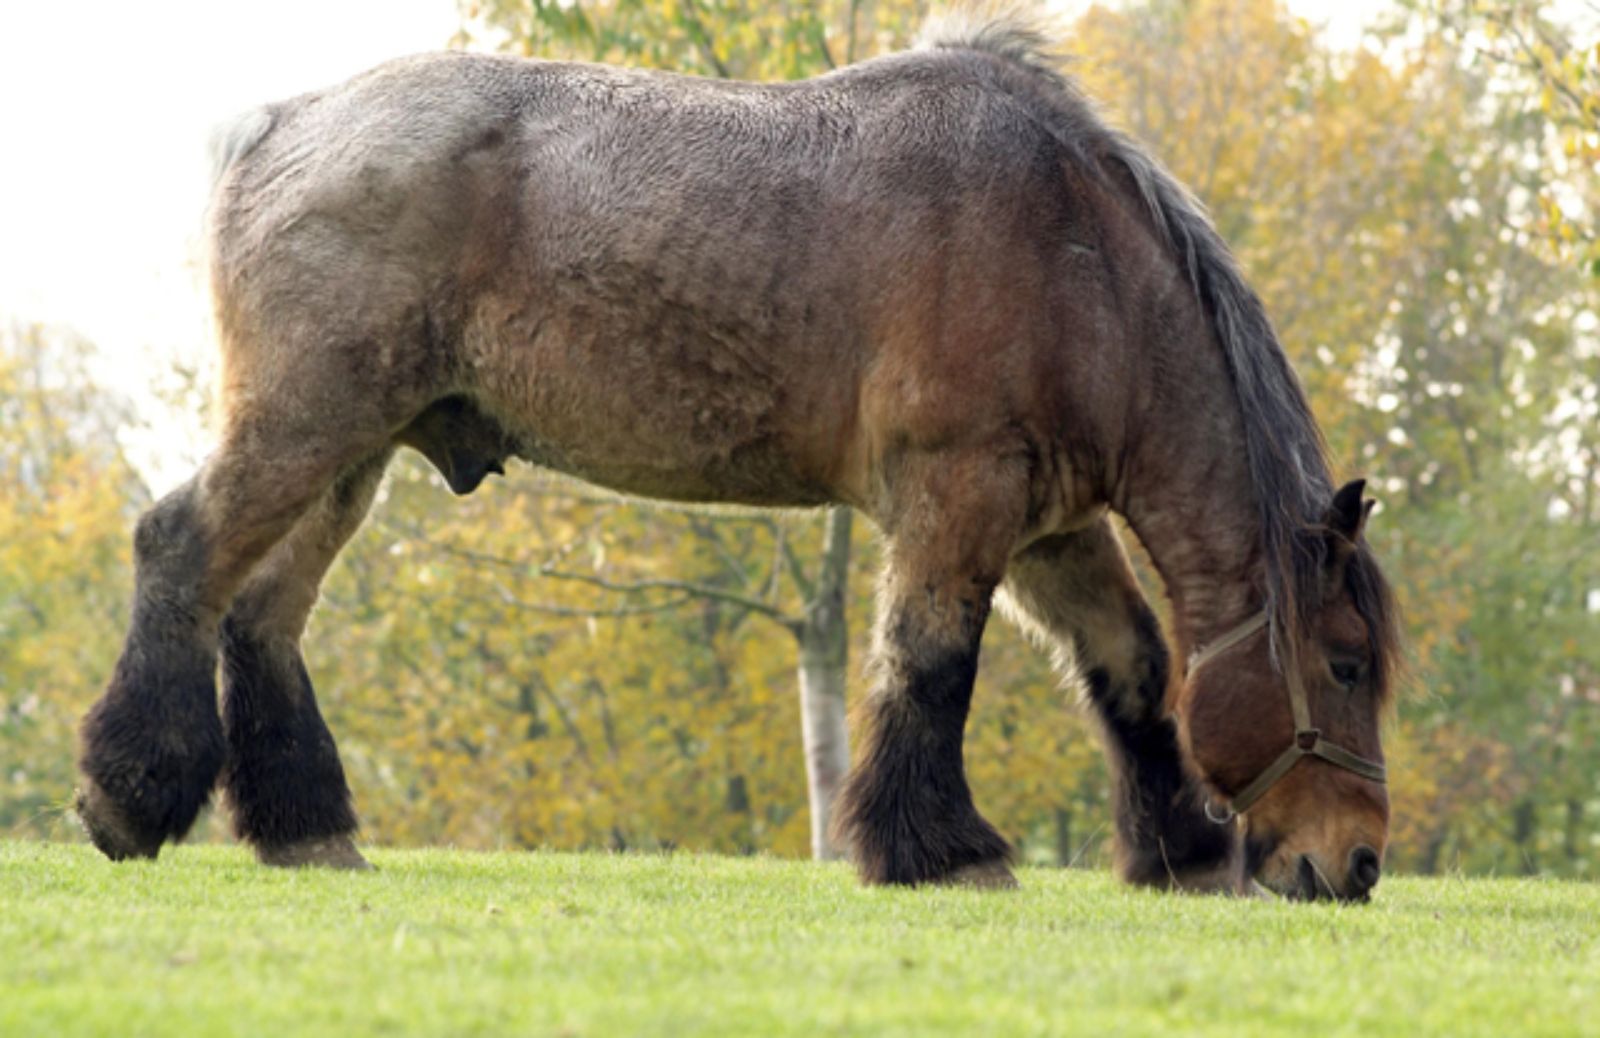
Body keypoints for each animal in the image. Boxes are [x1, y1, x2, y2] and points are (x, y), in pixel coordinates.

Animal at [75, 12, 1401, 895]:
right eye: (1343, 664)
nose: (1355, 863)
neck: (1076, 259)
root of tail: (282, 123)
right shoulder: (956, 500)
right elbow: (931, 663)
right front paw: (938, 850)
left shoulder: (1046, 526)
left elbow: (1129, 666)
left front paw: (1179, 851)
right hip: (310, 423)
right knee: (180, 546)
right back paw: (129, 794)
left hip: (350, 454)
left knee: (259, 614)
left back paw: (305, 827)